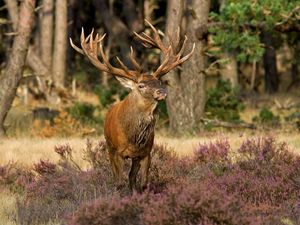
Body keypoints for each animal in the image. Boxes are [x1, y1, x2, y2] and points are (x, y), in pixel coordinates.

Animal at [70, 20, 195, 191]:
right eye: (141, 85)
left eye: (159, 82)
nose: (162, 91)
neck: (134, 138)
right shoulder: (117, 152)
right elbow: (119, 182)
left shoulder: (145, 152)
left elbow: (142, 183)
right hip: (109, 147)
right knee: (117, 178)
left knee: (131, 178)